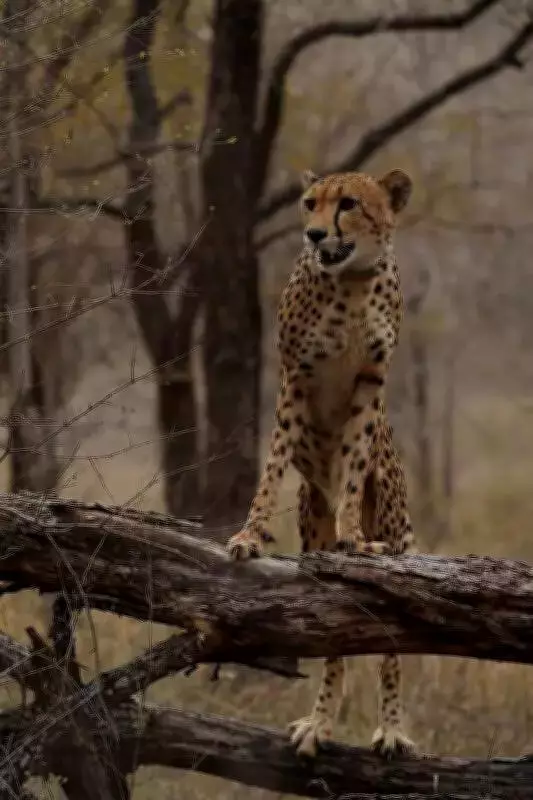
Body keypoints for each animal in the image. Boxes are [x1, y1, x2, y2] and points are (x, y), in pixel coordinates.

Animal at [226, 166, 417, 760]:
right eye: (309, 203)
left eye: (349, 204)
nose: (313, 235)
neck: (351, 282)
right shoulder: (296, 378)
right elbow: (271, 466)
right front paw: (249, 536)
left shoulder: (369, 384)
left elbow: (353, 467)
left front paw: (353, 537)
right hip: (312, 518)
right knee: (333, 643)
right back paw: (320, 722)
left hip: (395, 523)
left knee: (391, 650)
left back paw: (391, 726)